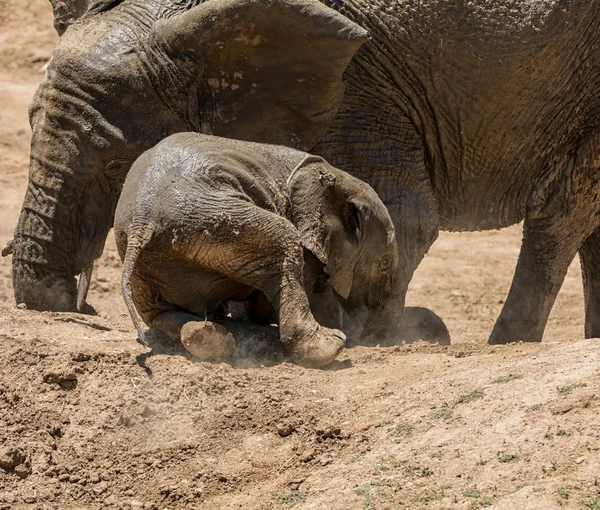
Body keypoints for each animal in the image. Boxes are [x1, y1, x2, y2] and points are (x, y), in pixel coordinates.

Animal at [4, 0, 600, 344]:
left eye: (114, 163)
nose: (71, 302)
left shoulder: (361, 85)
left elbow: (402, 217)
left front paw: (367, 335)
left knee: (563, 208)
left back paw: (508, 343)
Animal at [116, 133, 398, 368]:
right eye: (384, 265)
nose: (377, 339)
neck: (338, 178)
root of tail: (143, 218)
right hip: (214, 221)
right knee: (284, 240)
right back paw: (331, 346)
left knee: (158, 312)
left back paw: (209, 336)